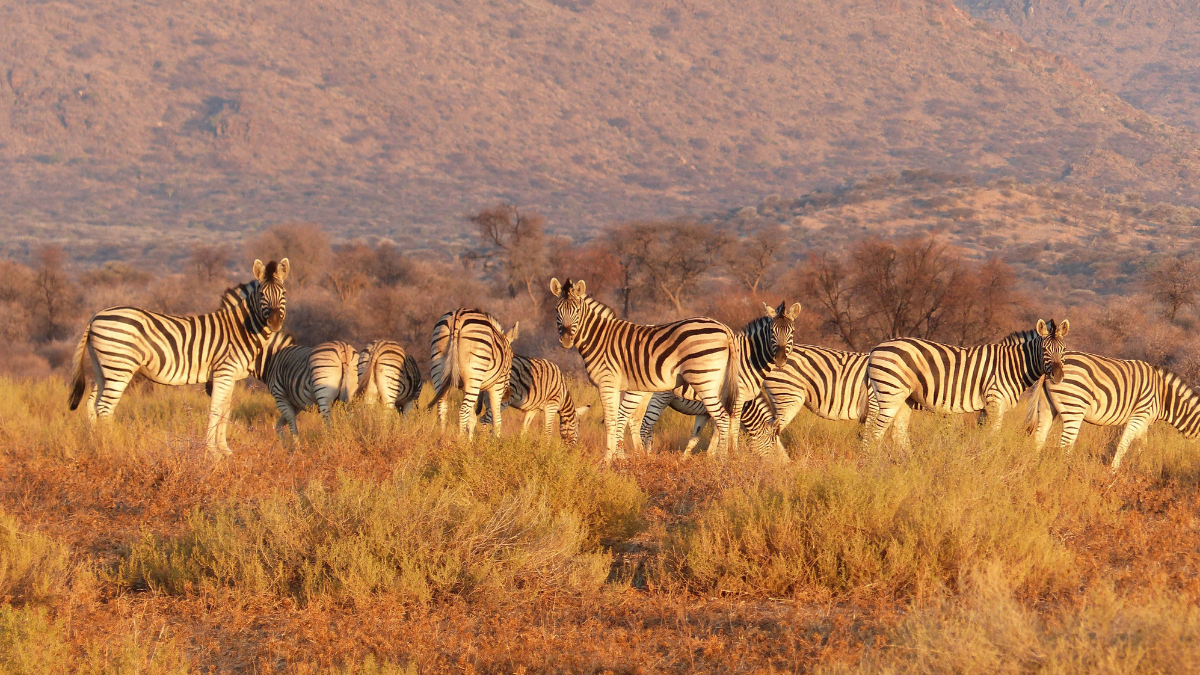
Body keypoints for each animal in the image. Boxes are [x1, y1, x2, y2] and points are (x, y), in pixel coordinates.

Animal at [68, 257, 290, 456]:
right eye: (262, 293)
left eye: (284, 292)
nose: (275, 322)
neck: (241, 329)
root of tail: (95, 316)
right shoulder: (224, 372)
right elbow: (216, 410)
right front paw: (212, 451)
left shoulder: (231, 376)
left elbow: (225, 411)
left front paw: (225, 450)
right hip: (120, 367)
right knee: (105, 408)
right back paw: (112, 448)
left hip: (103, 367)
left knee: (92, 404)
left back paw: (96, 446)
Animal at [427, 309, 516, 439]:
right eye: (512, 356)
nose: (508, 394)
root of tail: (458, 315)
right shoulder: (497, 385)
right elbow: (497, 417)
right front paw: (496, 441)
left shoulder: (464, 387)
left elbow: (472, 419)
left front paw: (471, 441)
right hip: (474, 376)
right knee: (462, 411)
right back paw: (460, 441)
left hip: (439, 370)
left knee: (441, 407)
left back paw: (441, 438)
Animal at [549, 276, 739, 458]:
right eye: (557, 311)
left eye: (577, 311)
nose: (566, 340)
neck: (600, 338)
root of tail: (724, 328)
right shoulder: (615, 386)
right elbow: (616, 420)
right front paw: (617, 458)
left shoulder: (606, 383)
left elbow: (611, 421)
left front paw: (607, 461)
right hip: (716, 385)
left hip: (703, 379)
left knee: (722, 418)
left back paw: (721, 461)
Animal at [624, 300, 801, 454]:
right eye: (772, 331)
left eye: (792, 332)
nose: (780, 360)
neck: (748, 359)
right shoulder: (737, 399)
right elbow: (732, 429)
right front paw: (731, 455)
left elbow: (704, 434)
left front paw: (712, 457)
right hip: (654, 395)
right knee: (640, 422)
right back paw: (643, 454)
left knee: (634, 420)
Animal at [1022, 348, 1200, 470]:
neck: (1163, 396)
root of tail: (1048, 367)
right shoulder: (1140, 415)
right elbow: (1123, 444)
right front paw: (1113, 472)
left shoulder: (1144, 422)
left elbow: (1142, 445)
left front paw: (1140, 465)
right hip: (1074, 407)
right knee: (1066, 443)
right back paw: (1063, 471)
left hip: (1047, 407)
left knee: (1040, 437)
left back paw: (1034, 465)